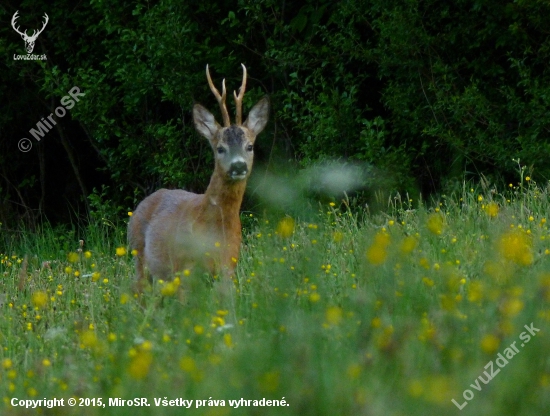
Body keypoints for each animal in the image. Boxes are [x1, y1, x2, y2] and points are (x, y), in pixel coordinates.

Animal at [127, 64, 270, 286]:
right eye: (220, 148)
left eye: (250, 146)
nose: (238, 166)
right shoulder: (186, 267)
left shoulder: (229, 265)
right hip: (139, 255)